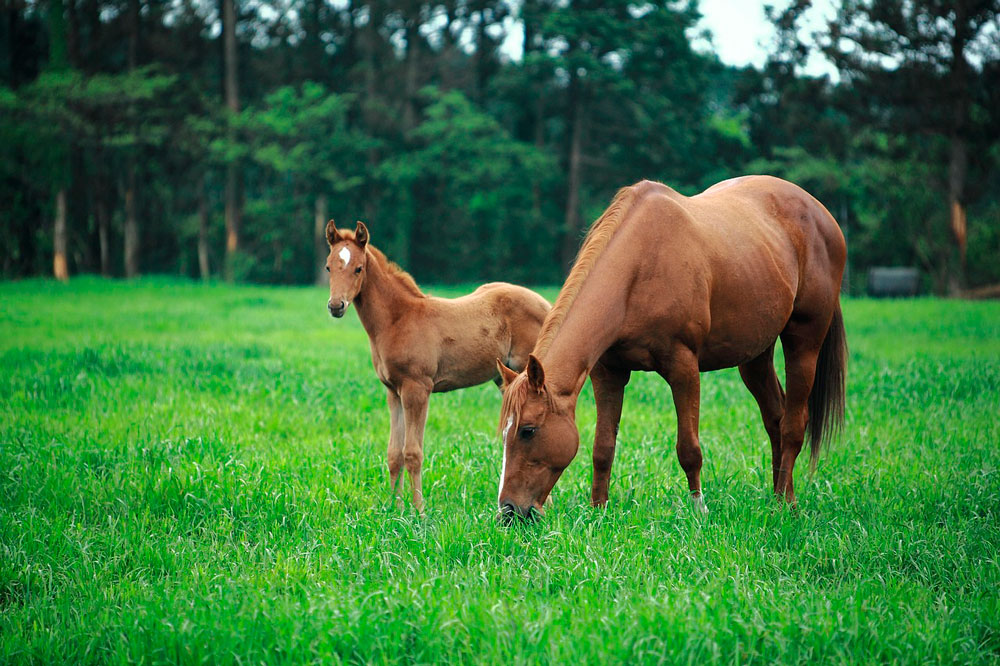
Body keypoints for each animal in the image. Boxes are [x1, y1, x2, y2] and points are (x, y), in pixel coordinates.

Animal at [326, 220, 548, 510]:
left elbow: (413, 453)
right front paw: (394, 510)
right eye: (328, 266)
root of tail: (546, 304)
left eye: (358, 268)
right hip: (505, 379)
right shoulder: (393, 392)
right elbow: (394, 453)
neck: (398, 320)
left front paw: (419, 511)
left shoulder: (417, 389)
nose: (336, 306)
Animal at [496, 174, 848, 516]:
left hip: (804, 342)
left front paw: (698, 510)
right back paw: (775, 498)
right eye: (504, 433)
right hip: (755, 355)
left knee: (792, 425)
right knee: (775, 419)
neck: (639, 268)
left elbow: (689, 448)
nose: (509, 512)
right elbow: (603, 447)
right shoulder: (609, 373)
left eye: (528, 430)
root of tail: (821, 214)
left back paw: (787, 505)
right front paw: (598, 510)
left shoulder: (683, 367)